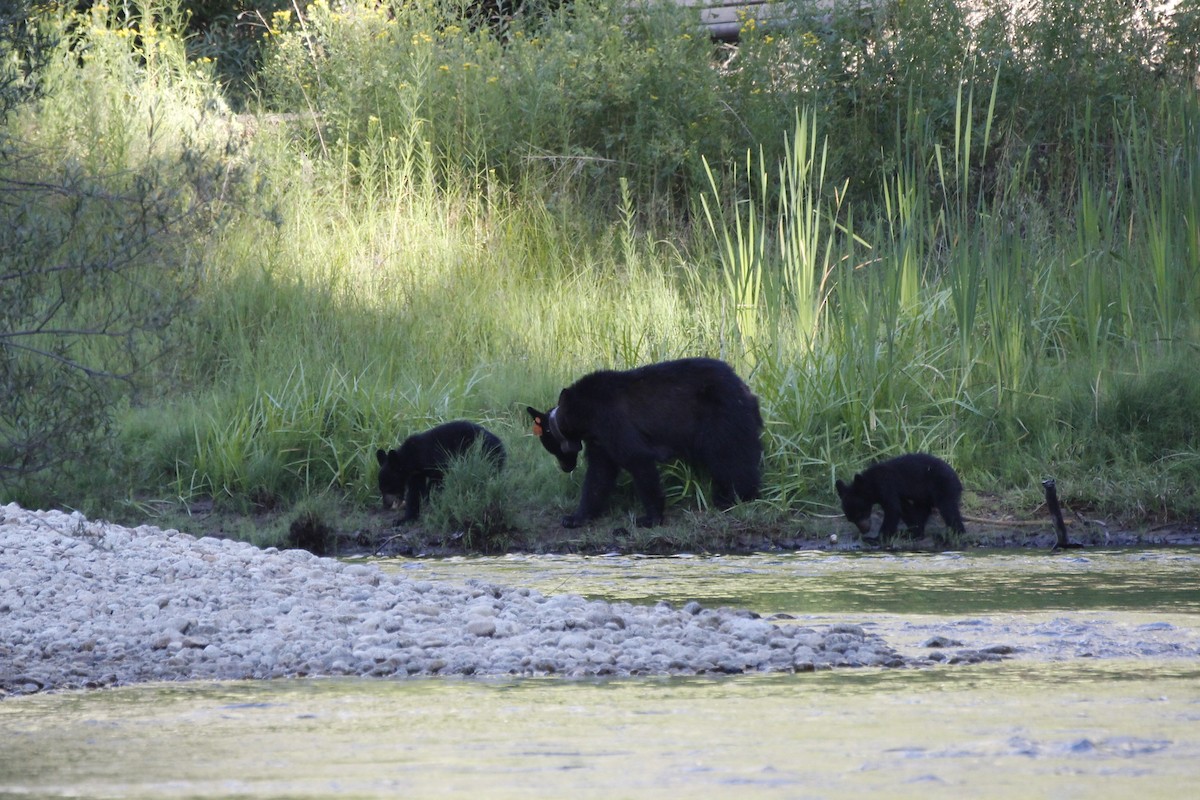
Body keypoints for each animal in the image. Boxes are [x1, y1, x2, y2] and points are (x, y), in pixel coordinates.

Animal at [375, 420, 506, 525]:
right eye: (381, 488)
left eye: (388, 487)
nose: (386, 505)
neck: (413, 457)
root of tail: (501, 444)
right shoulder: (416, 474)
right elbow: (414, 493)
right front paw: (405, 518)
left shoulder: (435, 459)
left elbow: (438, 480)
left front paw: (432, 501)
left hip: (485, 452)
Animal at [527, 357, 763, 528]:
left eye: (550, 446)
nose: (566, 468)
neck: (580, 413)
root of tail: (746, 388)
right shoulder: (599, 440)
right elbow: (599, 474)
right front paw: (575, 517)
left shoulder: (611, 420)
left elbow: (636, 458)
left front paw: (650, 518)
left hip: (722, 416)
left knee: (730, 456)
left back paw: (736, 497)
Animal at [835, 452, 966, 544]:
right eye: (850, 519)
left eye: (859, 514)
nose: (864, 530)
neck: (872, 483)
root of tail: (958, 479)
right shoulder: (898, 494)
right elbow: (904, 508)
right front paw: (912, 531)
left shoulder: (887, 485)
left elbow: (892, 510)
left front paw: (876, 538)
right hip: (925, 496)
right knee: (922, 510)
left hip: (943, 486)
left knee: (948, 509)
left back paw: (957, 533)